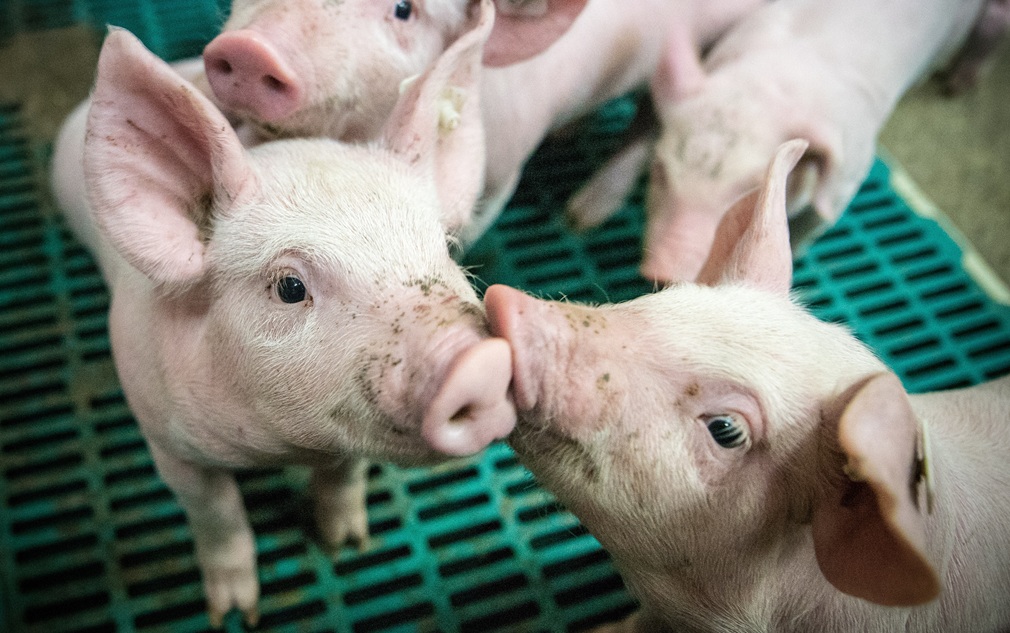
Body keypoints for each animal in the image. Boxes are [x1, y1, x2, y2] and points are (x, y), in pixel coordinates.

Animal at [49, 4, 515, 625]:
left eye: (448, 248)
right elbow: (216, 513)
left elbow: (344, 476)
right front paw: (234, 614)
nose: (480, 360)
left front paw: (349, 547)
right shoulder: (167, 442)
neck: (276, 446)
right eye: (290, 286)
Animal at [567, 0, 988, 283]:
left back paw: (955, 85)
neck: (767, 88)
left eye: (751, 191)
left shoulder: (850, 174)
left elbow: (814, 222)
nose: (660, 270)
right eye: (659, 171)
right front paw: (577, 221)